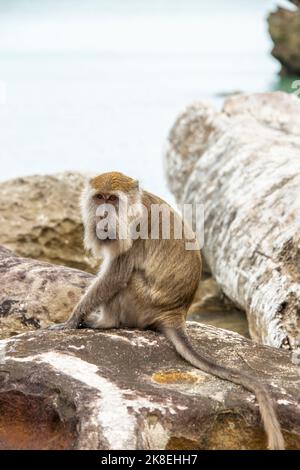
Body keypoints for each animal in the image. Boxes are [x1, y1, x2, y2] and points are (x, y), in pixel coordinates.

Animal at [50, 172, 284, 448]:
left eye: (112, 199)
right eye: (100, 198)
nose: (103, 214)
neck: (133, 207)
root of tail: (174, 314)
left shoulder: (133, 231)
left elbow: (115, 277)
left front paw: (73, 319)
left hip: (141, 304)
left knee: (128, 279)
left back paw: (106, 322)